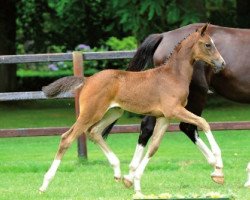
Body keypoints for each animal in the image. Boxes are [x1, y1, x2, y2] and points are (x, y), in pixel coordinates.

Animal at [38, 23, 225, 195]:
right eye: (208, 44)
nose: (222, 63)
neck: (173, 75)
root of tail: (87, 80)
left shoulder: (164, 117)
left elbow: (154, 147)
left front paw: (136, 183)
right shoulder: (174, 110)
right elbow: (203, 122)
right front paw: (218, 165)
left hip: (113, 112)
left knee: (94, 132)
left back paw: (117, 171)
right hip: (90, 113)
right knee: (67, 138)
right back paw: (44, 184)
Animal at [120, 23, 249, 188]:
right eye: (208, 45)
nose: (222, 64)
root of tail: (163, 35)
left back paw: (131, 175)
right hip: (197, 95)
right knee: (188, 127)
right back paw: (217, 168)